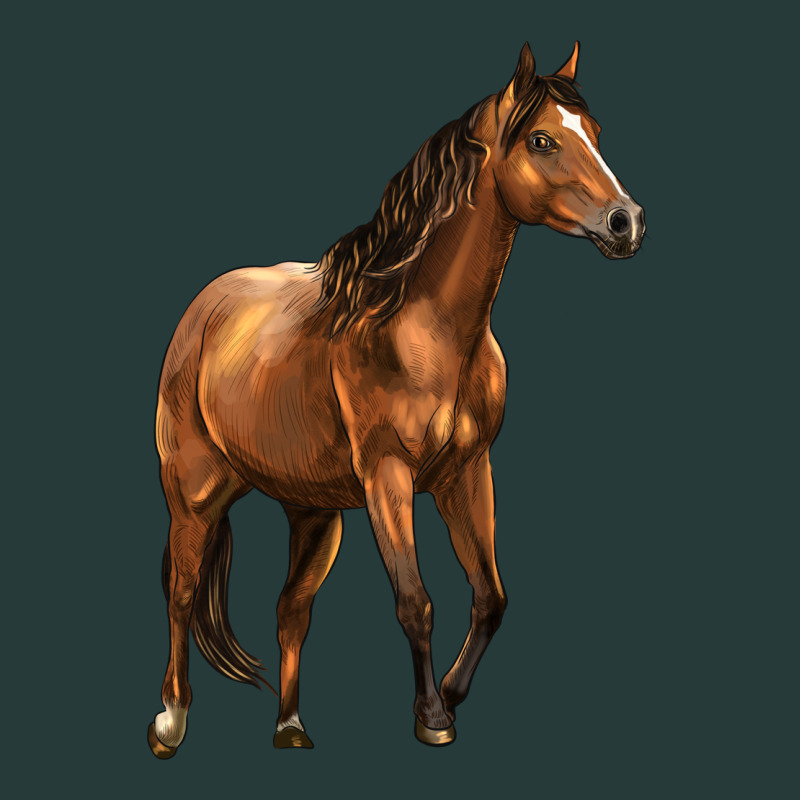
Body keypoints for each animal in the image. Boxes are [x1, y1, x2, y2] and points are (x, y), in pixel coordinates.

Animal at [147, 40, 645, 757]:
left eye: (596, 133)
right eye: (543, 139)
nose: (627, 222)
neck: (422, 327)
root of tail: (202, 311)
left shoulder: (467, 474)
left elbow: (491, 596)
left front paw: (455, 694)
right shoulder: (389, 479)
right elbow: (416, 602)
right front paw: (433, 716)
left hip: (314, 514)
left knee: (291, 609)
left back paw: (291, 727)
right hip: (195, 493)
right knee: (182, 595)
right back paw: (170, 720)